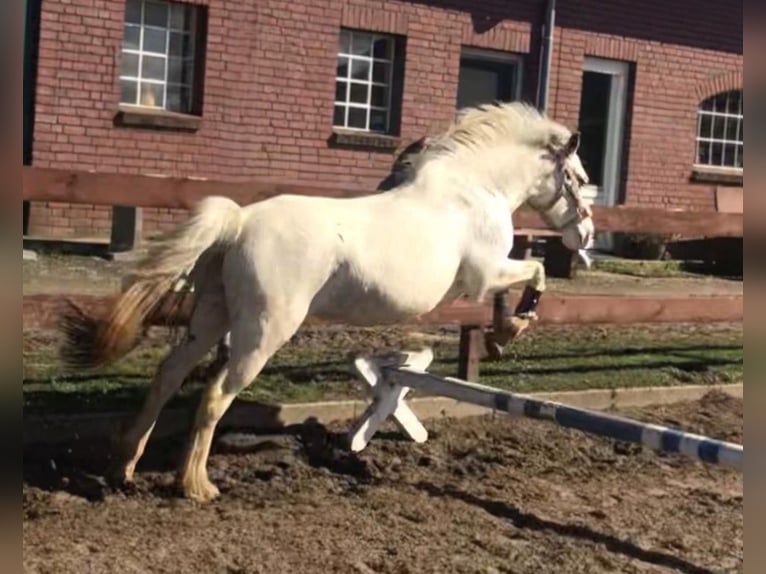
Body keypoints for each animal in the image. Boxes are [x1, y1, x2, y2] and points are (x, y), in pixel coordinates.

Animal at [63, 101, 596, 502]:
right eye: (577, 176)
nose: (586, 236)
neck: (474, 187)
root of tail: (239, 223)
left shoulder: (486, 278)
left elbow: (524, 281)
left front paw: (503, 334)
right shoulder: (485, 274)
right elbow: (534, 274)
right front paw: (510, 330)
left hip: (212, 317)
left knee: (168, 375)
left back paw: (124, 469)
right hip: (263, 332)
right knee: (214, 395)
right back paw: (195, 485)